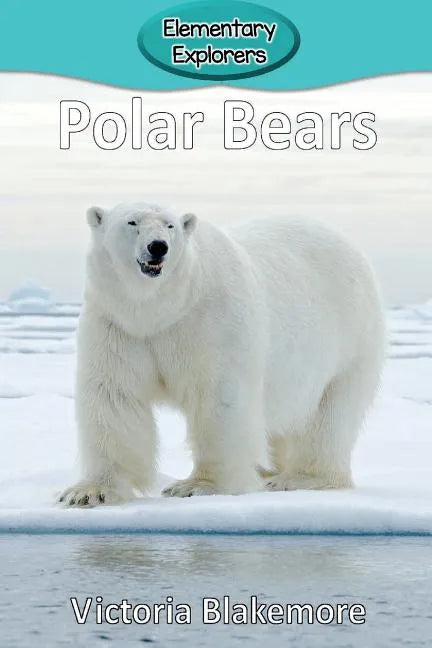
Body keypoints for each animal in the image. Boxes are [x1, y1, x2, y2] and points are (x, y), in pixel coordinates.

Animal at [59, 202, 385, 506]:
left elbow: (219, 398)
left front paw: (198, 485)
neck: (162, 309)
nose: (158, 247)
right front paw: (88, 492)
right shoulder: (118, 325)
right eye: (132, 222)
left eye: (170, 225)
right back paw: (269, 471)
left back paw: (298, 478)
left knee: (329, 414)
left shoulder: (210, 321)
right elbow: (114, 395)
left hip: (348, 339)